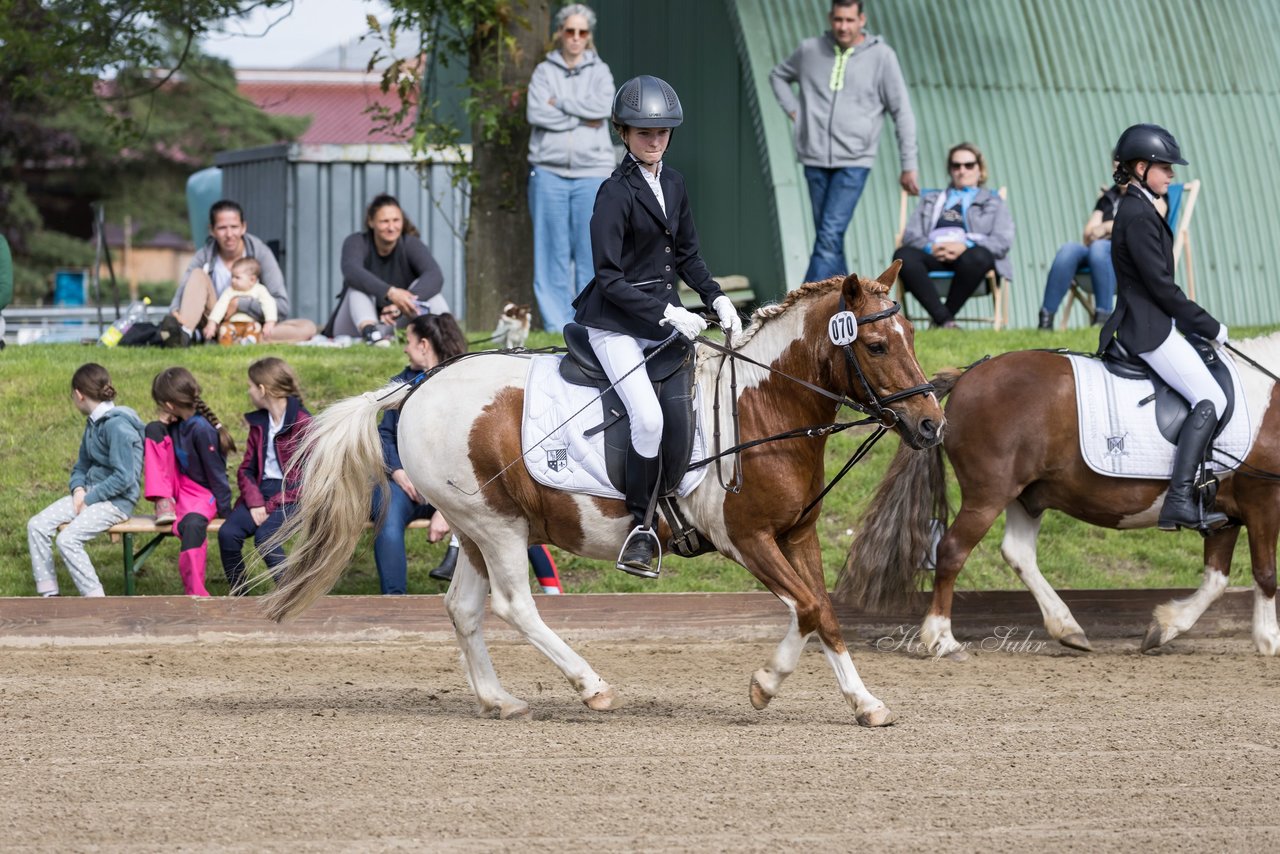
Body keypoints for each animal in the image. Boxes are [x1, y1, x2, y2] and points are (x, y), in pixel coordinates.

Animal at [262, 265, 942, 727]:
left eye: (911, 337)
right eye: (876, 345)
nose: (932, 424)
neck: (762, 404)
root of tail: (419, 384)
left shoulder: (796, 535)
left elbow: (821, 611)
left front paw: (864, 701)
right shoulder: (747, 539)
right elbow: (804, 607)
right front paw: (765, 684)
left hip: (475, 528)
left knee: (464, 609)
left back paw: (499, 700)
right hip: (499, 526)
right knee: (515, 606)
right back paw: (590, 686)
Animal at [834, 338, 1280, 660]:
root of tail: (968, 375)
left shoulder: (1225, 514)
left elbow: (1216, 580)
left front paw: (1165, 626)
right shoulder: (1263, 500)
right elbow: (1265, 573)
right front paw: (1269, 640)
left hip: (1026, 494)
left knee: (1018, 553)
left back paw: (1069, 629)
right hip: (989, 494)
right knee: (952, 550)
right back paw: (941, 638)